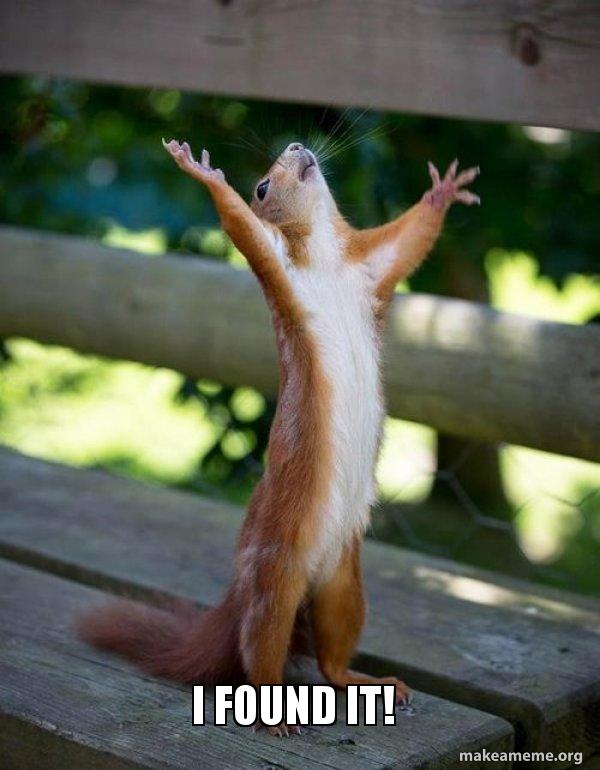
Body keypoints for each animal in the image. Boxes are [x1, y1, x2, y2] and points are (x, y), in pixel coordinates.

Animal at [78, 138, 479, 736]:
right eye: (262, 186)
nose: (296, 146)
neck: (327, 258)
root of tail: (240, 592)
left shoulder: (371, 267)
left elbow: (408, 241)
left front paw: (443, 191)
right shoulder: (278, 266)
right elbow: (242, 227)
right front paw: (204, 174)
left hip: (344, 584)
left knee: (332, 659)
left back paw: (367, 681)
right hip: (275, 577)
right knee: (260, 650)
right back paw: (274, 715)